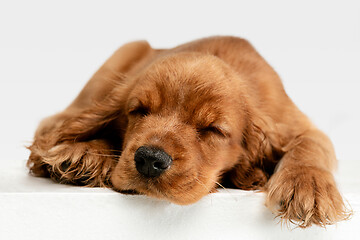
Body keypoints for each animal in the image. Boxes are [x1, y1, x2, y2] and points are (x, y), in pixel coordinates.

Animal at [27, 35, 348, 227]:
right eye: (139, 110)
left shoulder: (298, 124)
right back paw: (82, 155)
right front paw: (84, 151)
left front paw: (308, 188)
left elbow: (311, 145)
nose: (149, 159)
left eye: (212, 129)